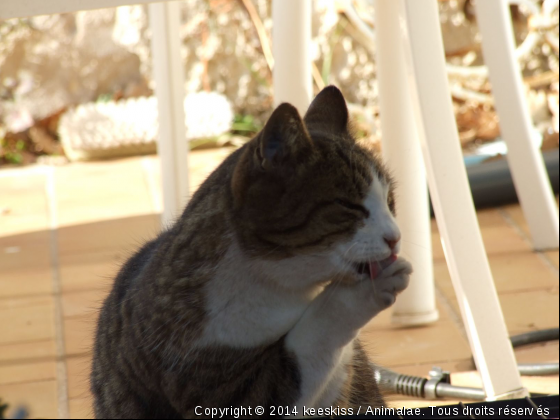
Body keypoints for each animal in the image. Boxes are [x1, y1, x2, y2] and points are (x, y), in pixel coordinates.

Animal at [89, 85, 410, 416]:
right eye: (349, 206)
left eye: (389, 200)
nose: (395, 237)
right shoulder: (225, 392)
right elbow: (313, 336)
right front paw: (365, 292)